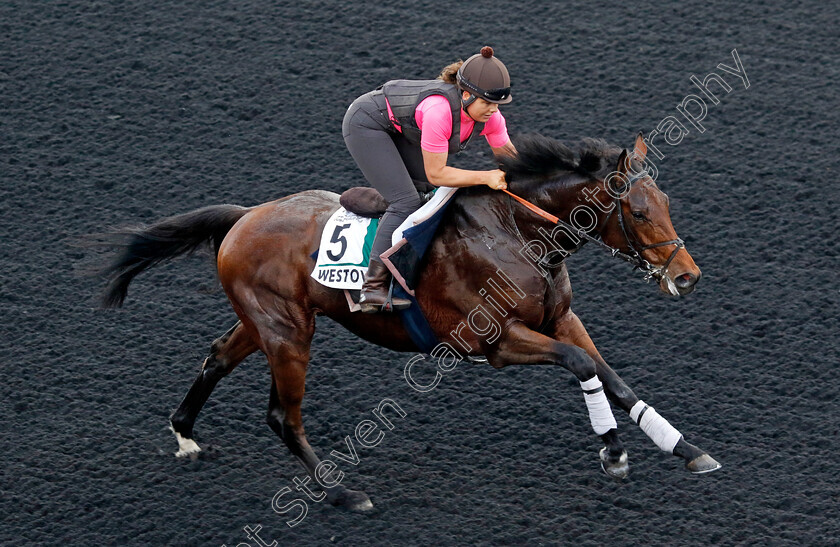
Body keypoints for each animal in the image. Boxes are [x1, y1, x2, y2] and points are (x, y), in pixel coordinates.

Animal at [98, 133, 720, 512]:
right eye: (637, 211)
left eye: (666, 201)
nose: (687, 277)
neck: (515, 232)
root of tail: (244, 217)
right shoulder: (495, 341)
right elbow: (582, 365)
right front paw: (613, 453)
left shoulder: (560, 317)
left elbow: (611, 376)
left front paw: (686, 449)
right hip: (287, 332)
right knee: (281, 415)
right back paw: (342, 494)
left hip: (267, 321)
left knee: (217, 356)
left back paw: (184, 432)